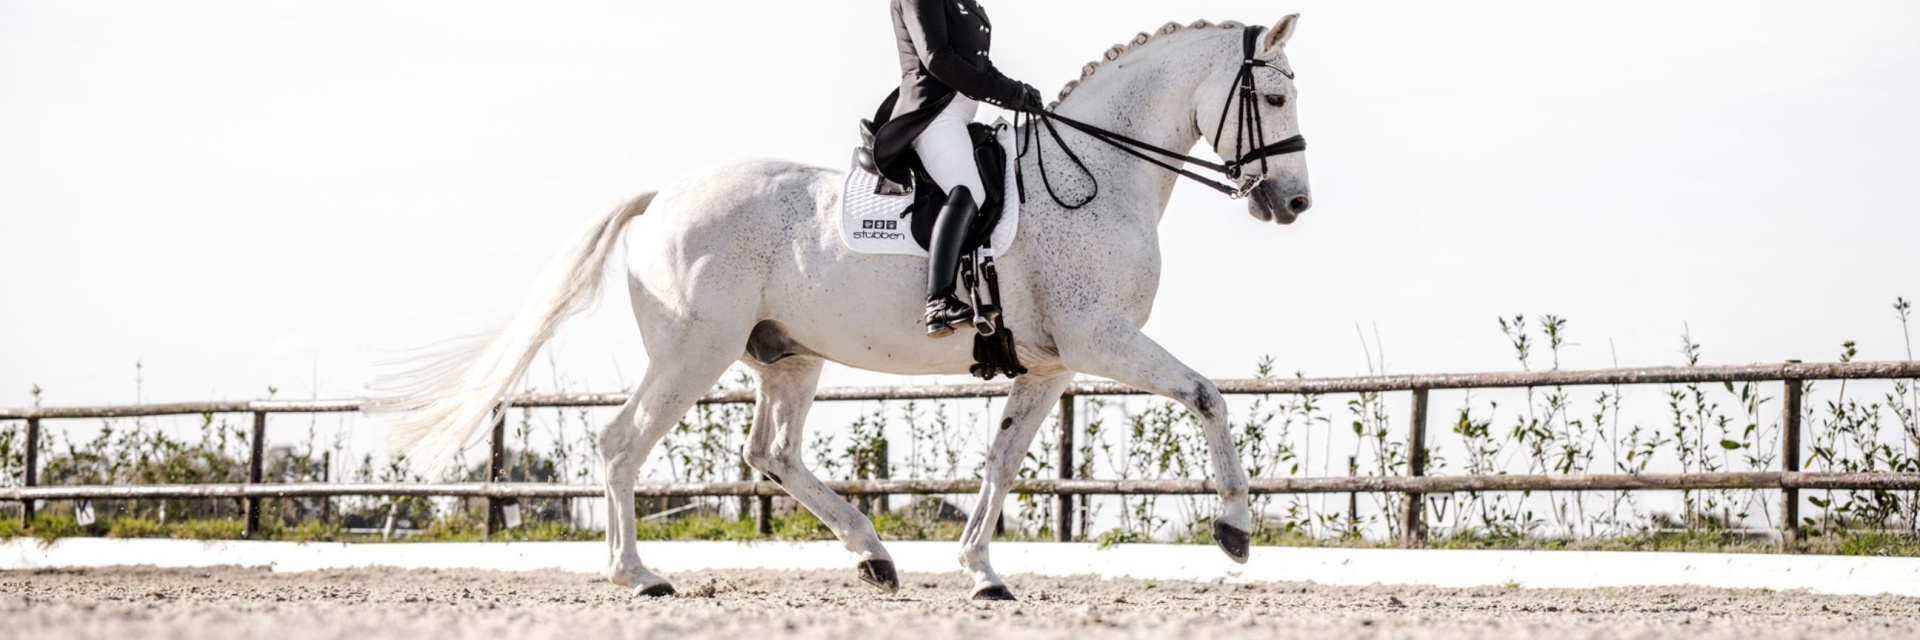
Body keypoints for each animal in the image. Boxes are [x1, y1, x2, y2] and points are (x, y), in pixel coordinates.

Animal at [371, 14, 1311, 601]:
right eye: (1273, 98)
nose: (1293, 202)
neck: (1094, 179)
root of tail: (664, 197)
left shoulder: (1050, 364)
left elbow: (1001, 464)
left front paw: (982, 572)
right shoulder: (1102, 339)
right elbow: (1207, 395)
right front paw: (1234, 530)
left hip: (787, 354)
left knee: (771, 453)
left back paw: (874, 556)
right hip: (692, 353)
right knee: (621, 442)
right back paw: (640, 576)